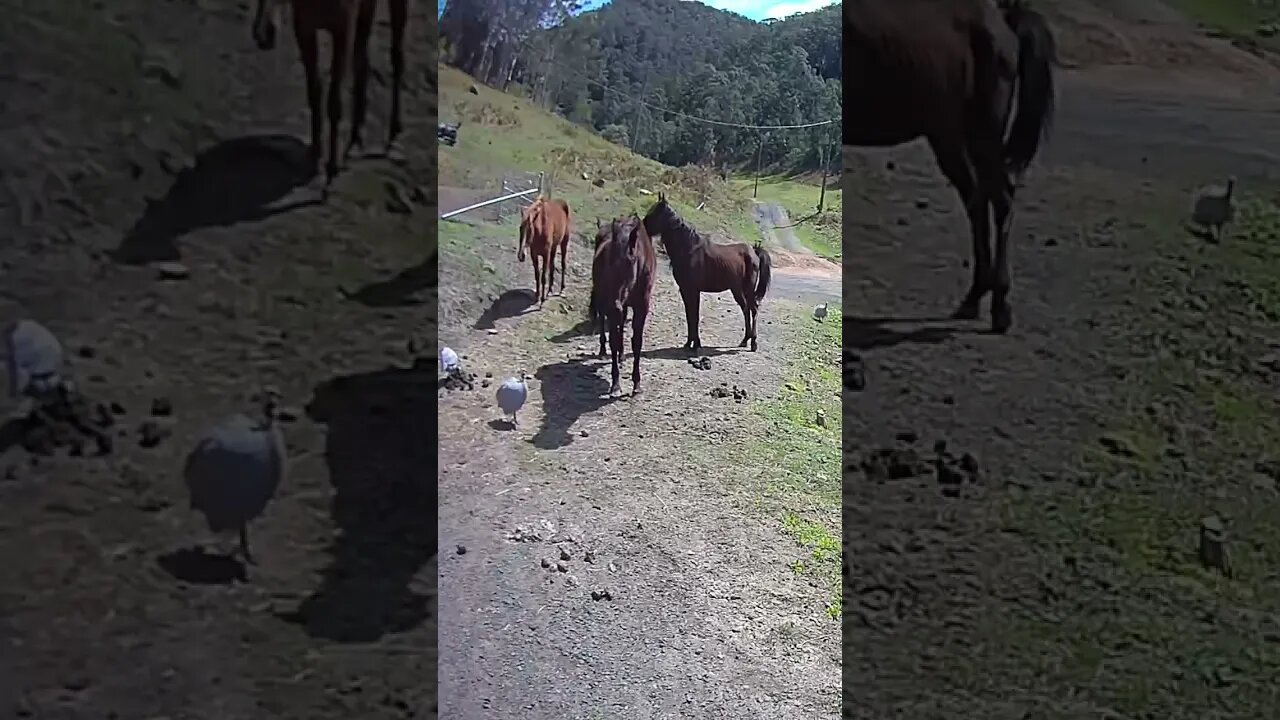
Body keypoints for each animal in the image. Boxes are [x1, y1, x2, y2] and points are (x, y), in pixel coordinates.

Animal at [249, 0, 409, 188]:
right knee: (362, 62)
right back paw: (355, 142)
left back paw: (394, 137)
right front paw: (315, 157)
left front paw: (332, 168)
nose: (263, 33)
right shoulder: (305, 29)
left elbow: (334, 101)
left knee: (397, 58)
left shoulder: (342, 30)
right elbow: (314, 93)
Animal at [586, 215, 655, 394]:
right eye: (609, 261)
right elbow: (614, 341)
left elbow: (636, 342)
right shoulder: (612, 305)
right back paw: (603, 350)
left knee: (621, 322)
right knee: (603, 318)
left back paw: (622, 356)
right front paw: (615, 383)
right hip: (604, 299)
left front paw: (636, 383)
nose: (615, 303)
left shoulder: (641, 307)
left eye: (631, 261)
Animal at [640, 194, 768, 351]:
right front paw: (689, 343)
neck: (689, 250)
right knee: (746, 309)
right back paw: (745, 340)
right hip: (737, 289)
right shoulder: (685, 290)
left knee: (753, 309)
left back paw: (753, 343)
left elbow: (694, 316)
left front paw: (696, 344)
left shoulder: (693, 290)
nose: (641, 227)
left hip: (748, 288)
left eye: (656, 212)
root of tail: (754, 251)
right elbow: (690, 316)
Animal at [844, 0, 1054, 330]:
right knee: (977, 203)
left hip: (982, 130)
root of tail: (1002, 18)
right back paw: (973, 299)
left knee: (1000, 201)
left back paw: (1000, 307)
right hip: (949, 134)